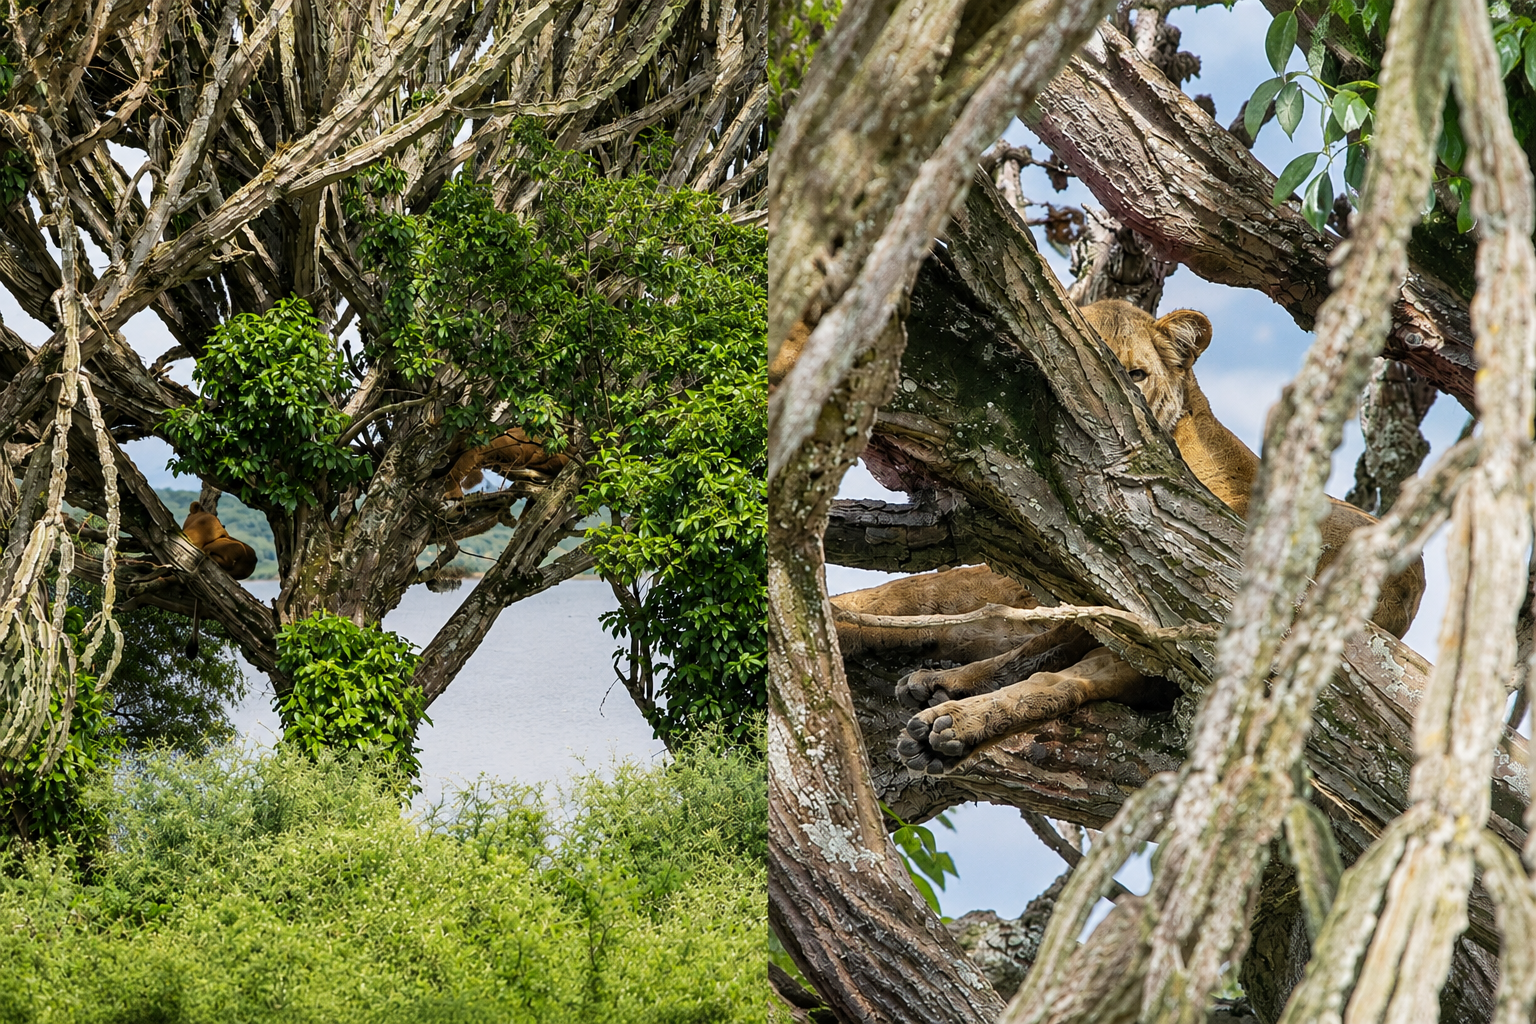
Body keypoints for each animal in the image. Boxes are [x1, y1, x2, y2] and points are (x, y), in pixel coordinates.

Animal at [832, 299, 1426, 774]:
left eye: (1137, 373)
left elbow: (923, 591)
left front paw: (841, 619)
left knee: (1065, 680)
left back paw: (949, 726)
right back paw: (943, 690)